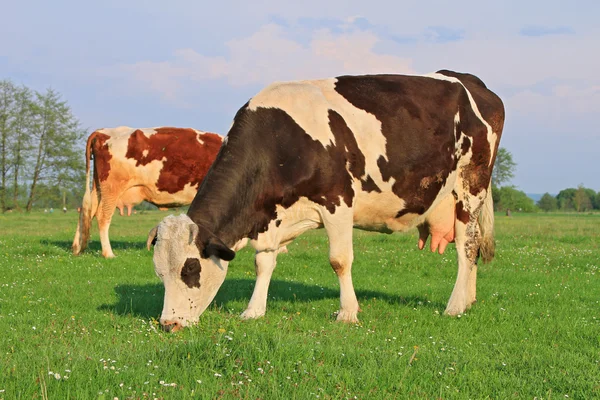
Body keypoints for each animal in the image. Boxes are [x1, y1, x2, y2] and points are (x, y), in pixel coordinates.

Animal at [72, 128, 223, 260]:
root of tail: (103, 131)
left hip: (98, 188)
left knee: (86, 211)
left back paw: (76, 249)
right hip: (112, 188)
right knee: (102, 216)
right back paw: (108, 254)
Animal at [148, 69, 504, 332]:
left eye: (190, 269)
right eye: (159, 273)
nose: (168, 324)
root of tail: (467, 79)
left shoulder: (338, 201)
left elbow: (339, 260)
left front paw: (347, 313)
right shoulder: (273, 216)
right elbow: (263, 262)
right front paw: (253, 311)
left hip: (471, 184)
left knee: (467, 245)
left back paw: (455, 306)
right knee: (471, 249)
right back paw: (469, 301)